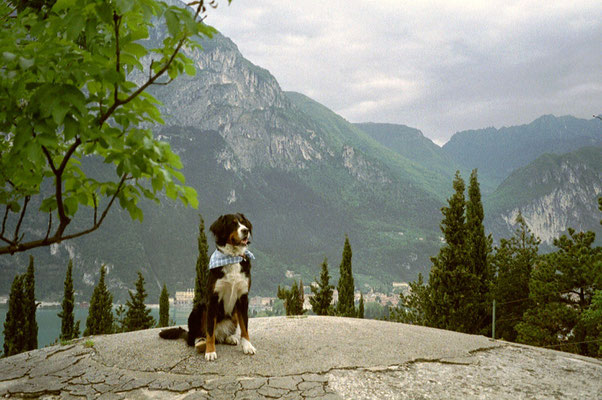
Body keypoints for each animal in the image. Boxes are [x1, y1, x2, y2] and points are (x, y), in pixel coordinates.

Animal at [158, 214, 254, 360]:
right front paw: (210, 351)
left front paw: (247, 346)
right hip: (198, 310)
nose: (246, 231)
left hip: (233, 314)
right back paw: (200, 342)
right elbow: (209, 331)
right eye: (233, 224)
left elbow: (245, 326)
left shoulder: (242, 297)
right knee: (194, 336)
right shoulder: (213, 299)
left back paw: (230, 338)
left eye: (243, 223)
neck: (231, 257)